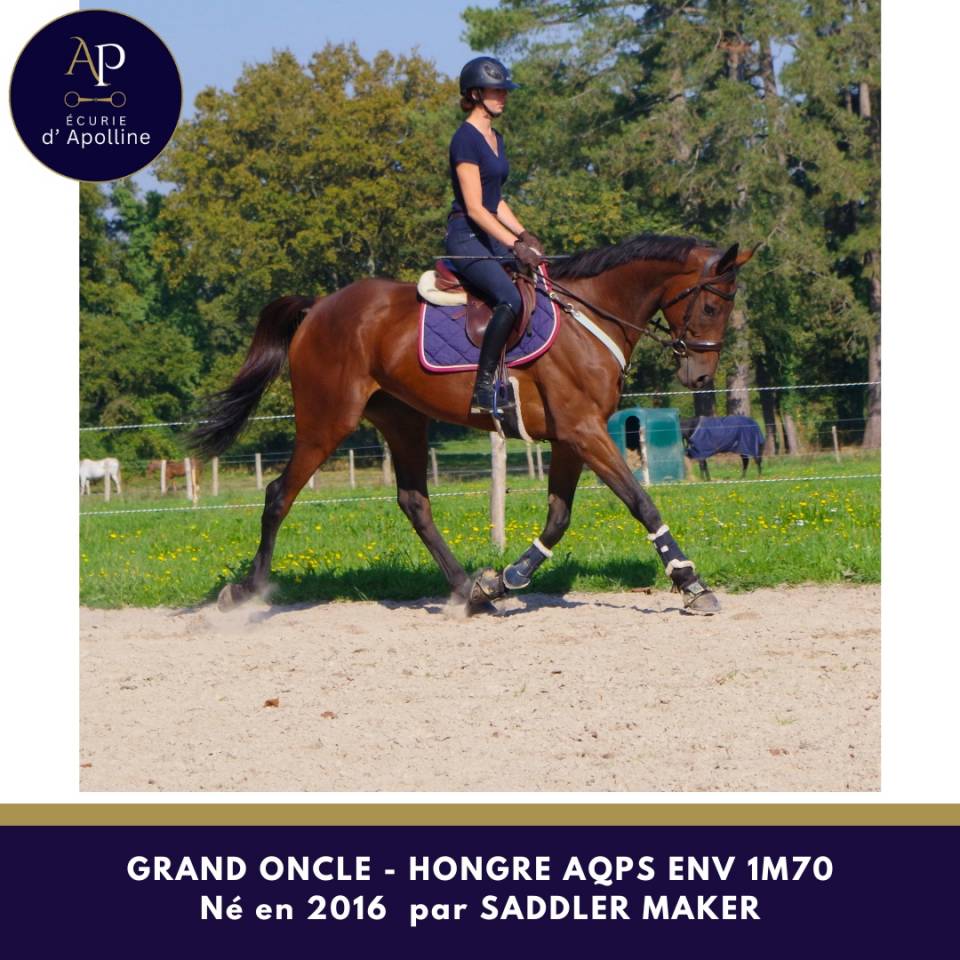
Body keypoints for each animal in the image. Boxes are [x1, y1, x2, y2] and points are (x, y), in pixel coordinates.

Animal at [190, 233, 753, 615]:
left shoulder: (571, 438)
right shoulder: (584, 432)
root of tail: (318, 308)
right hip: (326, 421)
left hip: (403, 420)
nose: (700, 375)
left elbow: (558, 518)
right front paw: (691, 583)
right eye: (709, 305)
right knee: (278, 495)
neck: (590, 316)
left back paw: (467, 591)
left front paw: (503, 579)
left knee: (414, 502)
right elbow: (640, 502)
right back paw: (247, 591)